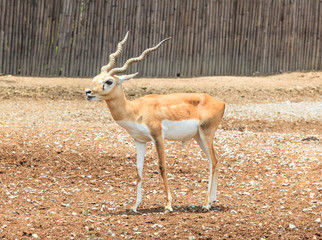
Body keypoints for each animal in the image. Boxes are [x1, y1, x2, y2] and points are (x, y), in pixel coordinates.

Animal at [86, 32, 226, 212]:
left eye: (109, 81)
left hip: (206, 134)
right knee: (215, 160)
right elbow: (138, 170)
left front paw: (168, 205)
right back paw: (212, 200)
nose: (88, 92)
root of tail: (220, 103)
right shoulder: (139, 140)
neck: (136, 110)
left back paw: (206, 205)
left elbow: (162, 167)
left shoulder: (158, 136)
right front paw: (135, 206)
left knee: (213, 162)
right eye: (95, 78)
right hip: (198, 137)